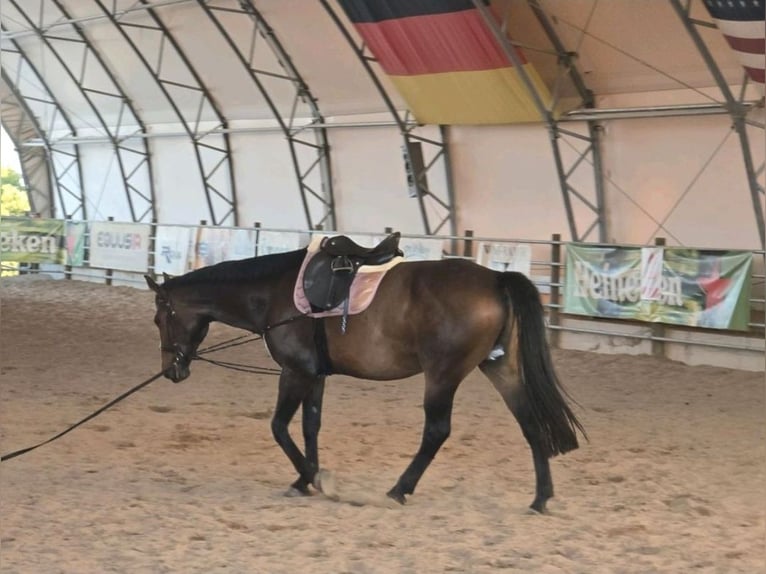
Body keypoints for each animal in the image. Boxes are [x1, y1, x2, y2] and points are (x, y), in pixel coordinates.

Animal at [145, 237, 586, 513]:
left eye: (159, 319)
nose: (171, 369)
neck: (274, 291)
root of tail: (496, 278)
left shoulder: (295, 372)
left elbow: (279, 427)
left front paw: (316, 478)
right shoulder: (315, 375)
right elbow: (310, 426)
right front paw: (305, 479)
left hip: (442, 375)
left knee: (436, 431)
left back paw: (398, 490)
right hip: (500, 367)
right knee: (530, 423)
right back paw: (541, 498)